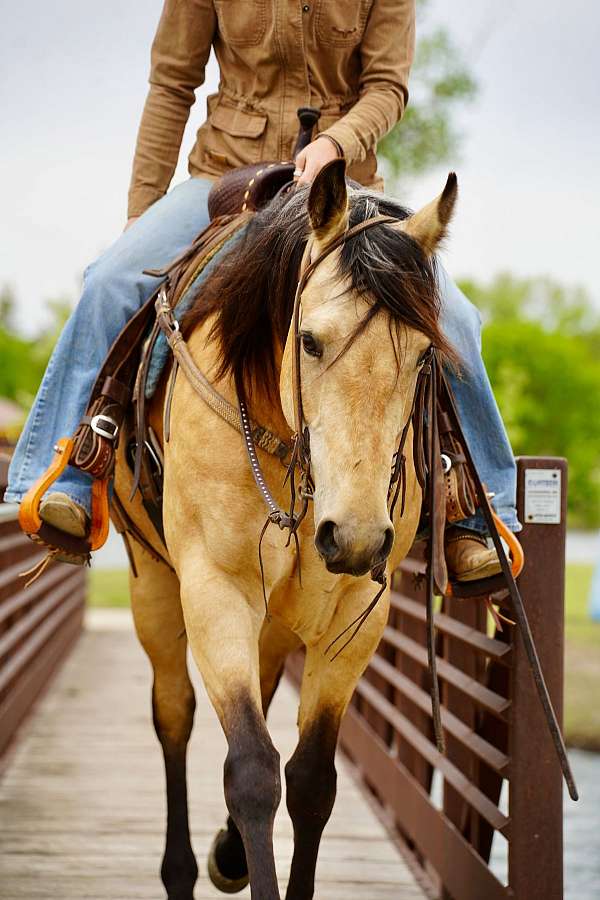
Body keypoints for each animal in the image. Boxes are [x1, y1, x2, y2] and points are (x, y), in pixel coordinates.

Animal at [113, 159, 458, 900]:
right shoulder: (215, 589)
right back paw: (182, 867)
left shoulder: (360, 610)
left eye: (424, 357)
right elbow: (251, 770)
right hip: (153, 587)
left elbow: (311, 782)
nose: (354, 536)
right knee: (174, 714)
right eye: (310, 340)